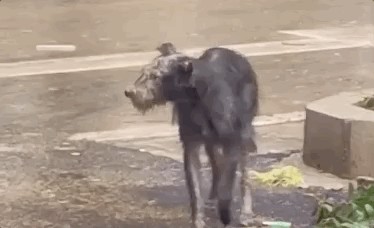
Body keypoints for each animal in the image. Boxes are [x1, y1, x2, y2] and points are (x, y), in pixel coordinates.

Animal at [124, 41, 258, 227]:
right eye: (145, 72)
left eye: (156, 76)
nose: (129, 92)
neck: (197, 96)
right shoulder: (191, 145)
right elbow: (195, 191)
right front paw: (198, 220)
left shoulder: (232, 143)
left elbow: (227, 185)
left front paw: (226, 215)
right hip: (210, 142)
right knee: (217, 166)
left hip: (243, 132)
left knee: (242, 172)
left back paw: (246, 211)